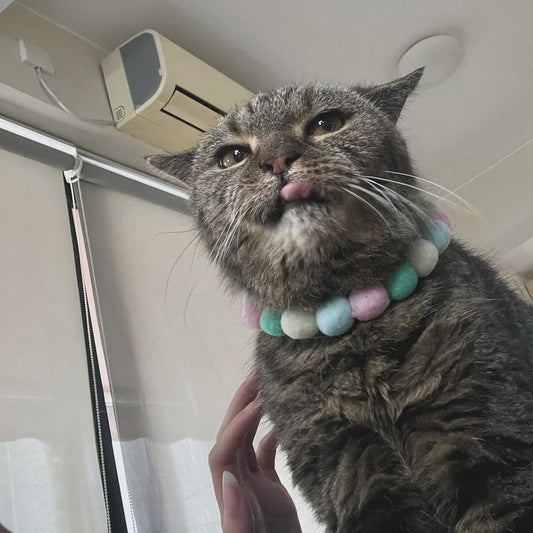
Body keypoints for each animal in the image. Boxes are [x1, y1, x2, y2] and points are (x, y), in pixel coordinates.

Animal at [148, 67, 532, 532]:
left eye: (326, 123)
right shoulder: (350, 477)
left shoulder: (492, 441)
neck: (352, 334)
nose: (278, 159)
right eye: (232, 156)